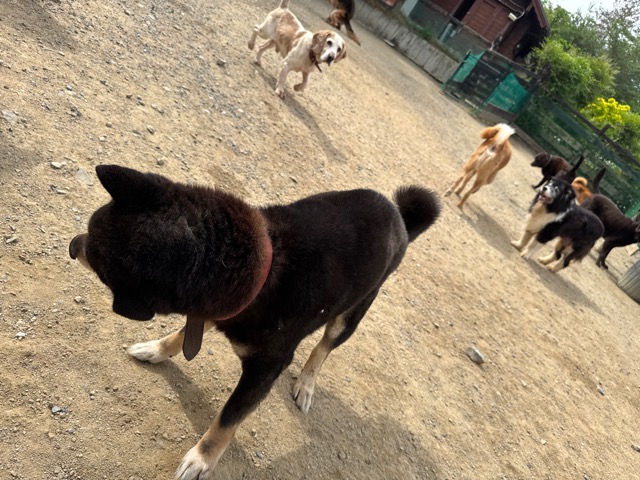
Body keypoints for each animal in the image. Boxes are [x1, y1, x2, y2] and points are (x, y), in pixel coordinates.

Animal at [68, 165, 440, 479]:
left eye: (97, 261)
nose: (73, 246)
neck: (264, 265)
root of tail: (399, 216)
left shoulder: (265, 367)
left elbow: (227, 419)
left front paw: (201, 460)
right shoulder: (216, 309)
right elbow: (180, 335)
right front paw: (156, 349)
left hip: (350, 315)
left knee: (322, 349)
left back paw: (307, 383)